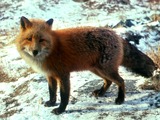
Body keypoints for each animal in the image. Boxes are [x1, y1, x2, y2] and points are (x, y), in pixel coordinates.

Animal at [15, 16, 156, 115]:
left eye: (41, 40)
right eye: (29, 39)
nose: (35, 51)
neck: (51, 49)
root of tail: (116, 34)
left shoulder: (63, 75)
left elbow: (63, 96)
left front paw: (60, 110)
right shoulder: (50, 75)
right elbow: (52, 92)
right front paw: (51, 103)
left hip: (105, 69)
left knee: (121, 81)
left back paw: (120, 99)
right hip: (96, 69)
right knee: (109, 81)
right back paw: (101, 92)